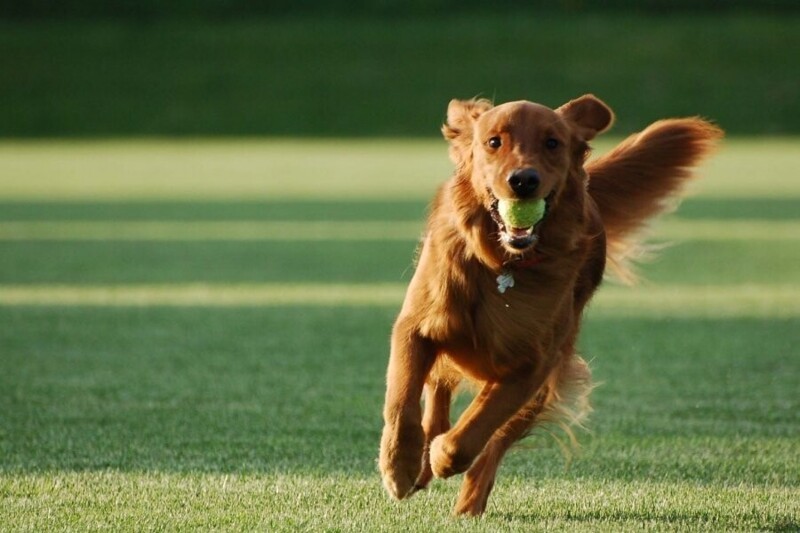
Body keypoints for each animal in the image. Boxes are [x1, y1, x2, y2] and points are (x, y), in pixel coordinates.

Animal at [378, 95, 720, 516]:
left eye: (552, 143)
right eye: (494, 142)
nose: (523, 180)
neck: (501, 264)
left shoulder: (533, 365)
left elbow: (475, 429)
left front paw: (443, 456)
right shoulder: (416, 327)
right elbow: (402, 404)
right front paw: (400, 467)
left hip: (547, 378)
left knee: (494, 444)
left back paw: (468, 501)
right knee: (437, 394)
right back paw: (423, 465)